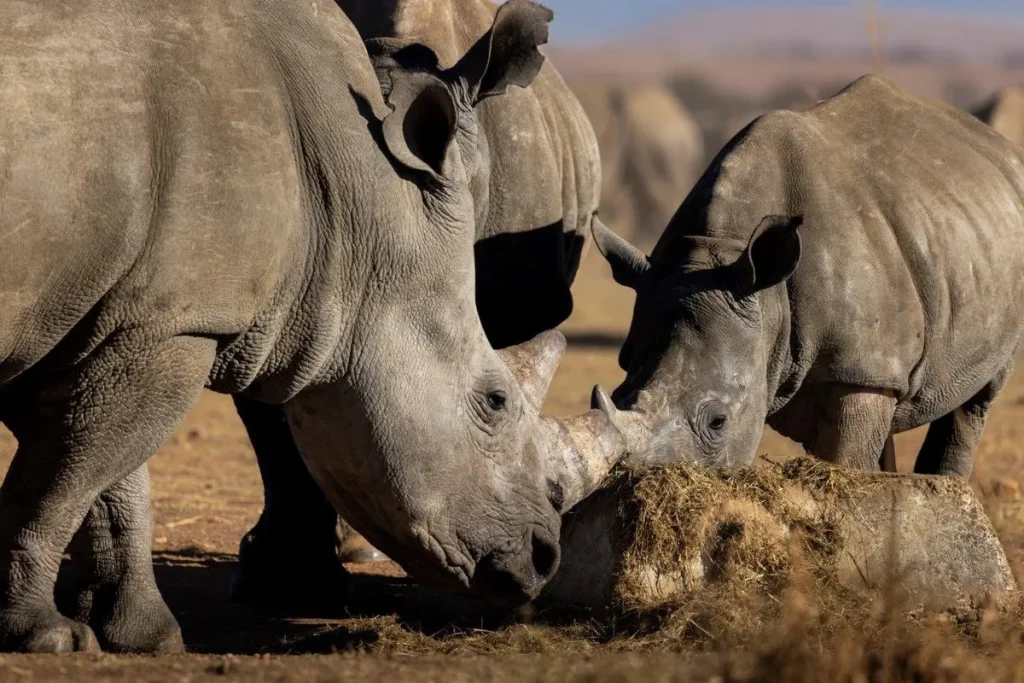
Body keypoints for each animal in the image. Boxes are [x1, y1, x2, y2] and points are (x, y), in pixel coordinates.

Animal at [595, 75, 1024, 475]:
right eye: (615, 393)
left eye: (718, 421)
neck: (718, 251)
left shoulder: (857, 369)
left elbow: (843, 458)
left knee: (978, 398)